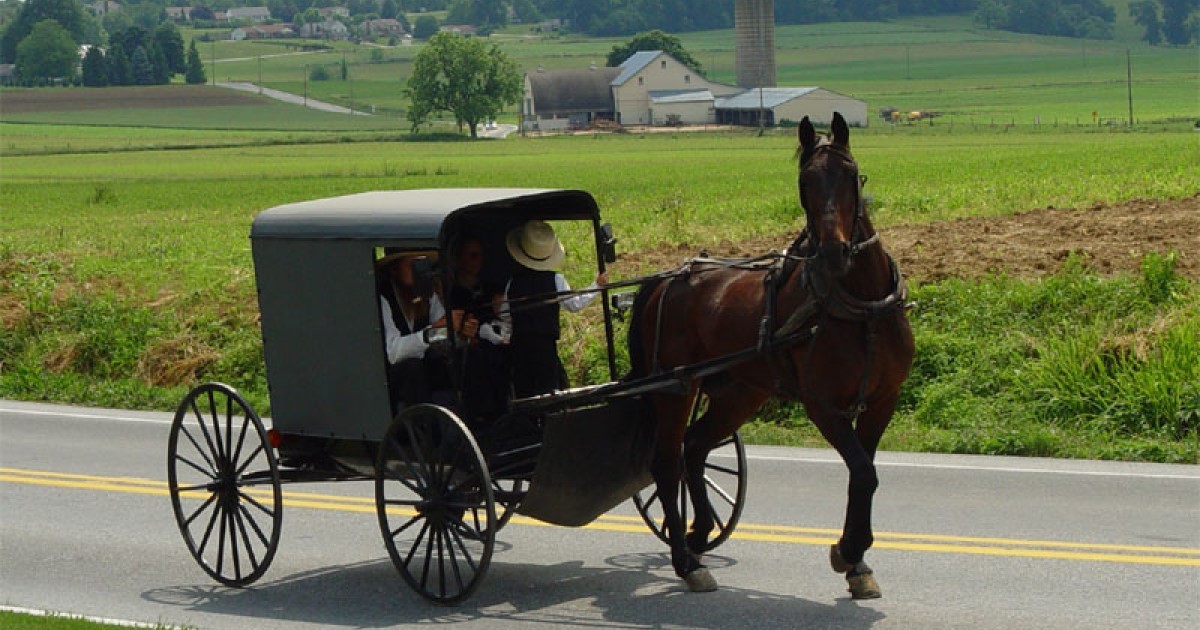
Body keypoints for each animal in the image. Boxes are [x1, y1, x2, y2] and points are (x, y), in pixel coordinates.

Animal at [628, 110, 907, 597]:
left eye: (850, 174)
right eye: (804, 182)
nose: (833, 253)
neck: (862, 307)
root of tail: (667, 278)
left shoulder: (882, 400)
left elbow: (864, 474)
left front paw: (857, 563)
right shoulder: (823, 407)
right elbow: (863, 472)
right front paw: (849, 550)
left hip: (740, 391)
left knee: (694, 446)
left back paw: (700, 531)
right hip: (676, 386)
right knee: (666, 462)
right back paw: (686, 561)